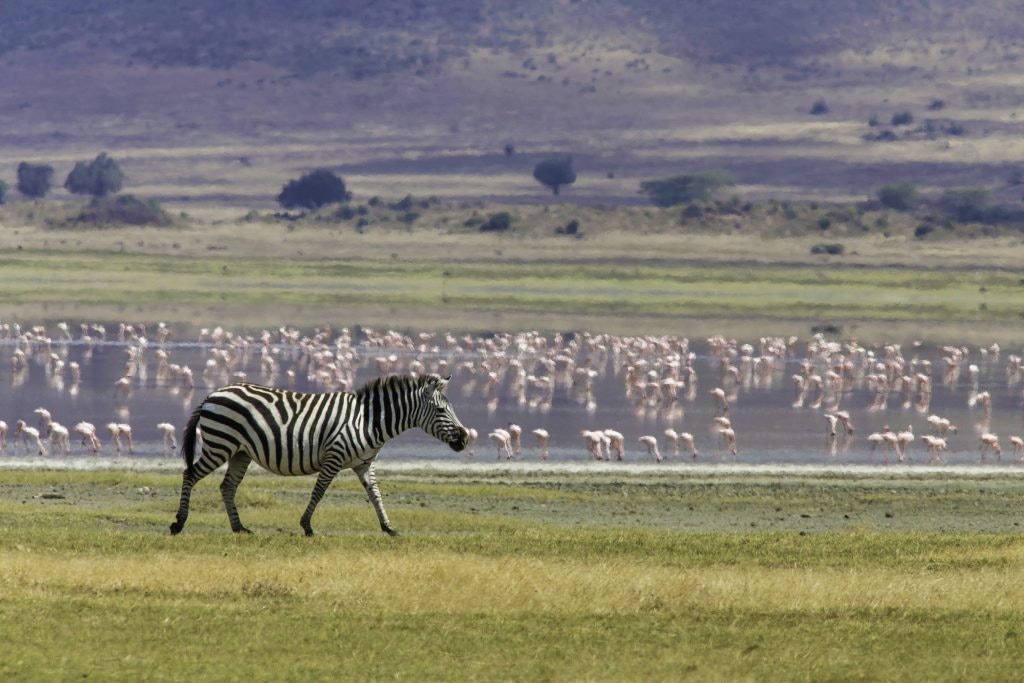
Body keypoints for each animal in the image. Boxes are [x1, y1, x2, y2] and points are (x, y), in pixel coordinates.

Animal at [169, 373, 469, 536]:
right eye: (441, 411)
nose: (465, 438)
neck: (368, 420)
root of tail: (213, 394)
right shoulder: (334, 456)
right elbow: (320, 490)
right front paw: (307, 526)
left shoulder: (364, 464)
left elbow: (375, 494)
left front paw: (388, 527)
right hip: (220, 444)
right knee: (190, 474)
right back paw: (179, 523)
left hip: (240, 452)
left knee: (227, 486)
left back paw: (239, 527)